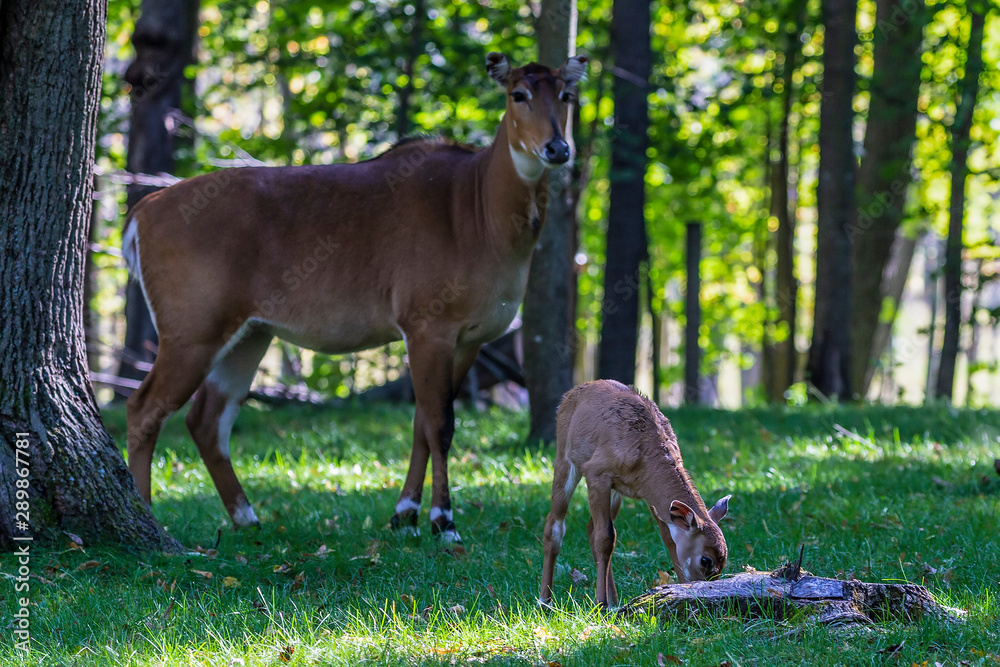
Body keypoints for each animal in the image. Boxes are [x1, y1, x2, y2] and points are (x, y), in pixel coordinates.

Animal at [121, 52, 584, 544]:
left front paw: (404, 515)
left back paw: (248, 517)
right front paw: (443, 522)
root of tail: (141, 213)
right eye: (518, 94)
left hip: (249, 333)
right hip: (192, 328)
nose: (557, 148)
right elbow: (440, 424)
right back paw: (148, 513)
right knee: (144, 408)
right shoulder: (427, 324)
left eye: (566, 94)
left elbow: (421, 422)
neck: (480, 210)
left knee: (208, 420)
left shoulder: (469, 338)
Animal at [544, 380, 732, 604]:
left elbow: (668, 539)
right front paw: (600, 603)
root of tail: (568, 395)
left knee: (591, 528)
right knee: (555, 525)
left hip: (615, 492)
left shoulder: (651, 496)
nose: (706, 588)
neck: (644, 462)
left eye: (723, 562)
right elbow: (604, 538)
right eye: (706, 560)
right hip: (565, 457)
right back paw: (545, 600)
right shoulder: (596, 472)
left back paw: (614, 602)